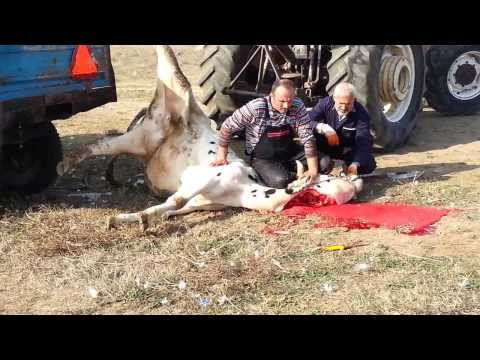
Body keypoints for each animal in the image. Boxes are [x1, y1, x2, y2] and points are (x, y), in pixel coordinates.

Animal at [56, 45, 364, 231]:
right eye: (329, 181)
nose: (356, 185)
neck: (242, 190)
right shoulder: (203, 178)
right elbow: (174, 202)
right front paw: (136, 218)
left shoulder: (201, 202)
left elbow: (170, 209)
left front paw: (134, 218)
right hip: (175, 93)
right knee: (171, 65)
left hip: (142, 138)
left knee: (100, 145)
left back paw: (65, 163)